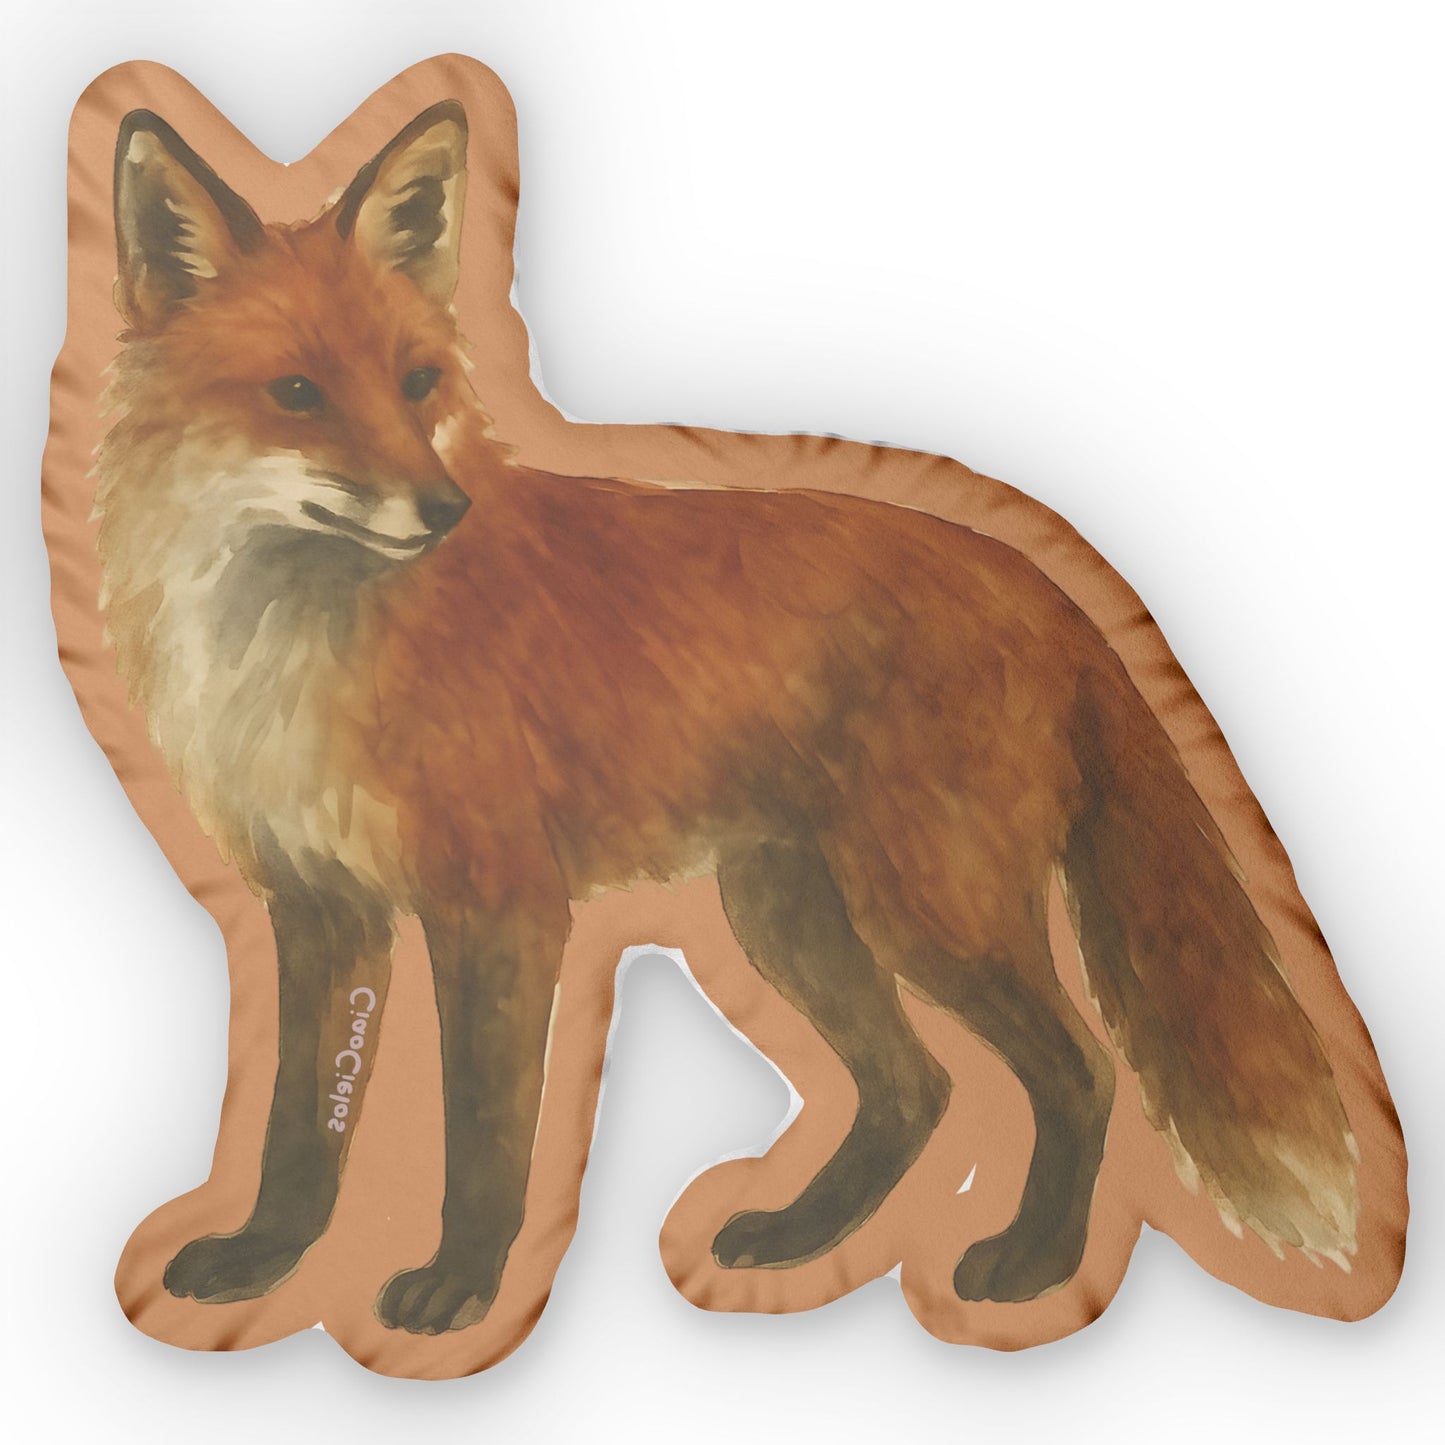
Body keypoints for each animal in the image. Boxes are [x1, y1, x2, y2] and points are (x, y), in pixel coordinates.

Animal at [93, 96, 1362, 1340]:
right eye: (297, 394)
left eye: (415, 384)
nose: (443, 510)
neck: (292, 632)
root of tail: (1036, 571)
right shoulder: (319, 907)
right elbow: (301, 1128)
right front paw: (264, 1256)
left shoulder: (498, 902)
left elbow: (483, 1134)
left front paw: (459, 1284)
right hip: (788, 909)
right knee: (916, 1088)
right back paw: (801, 1233)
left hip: (925, 909)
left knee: (1079, 1072)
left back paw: (1033, 1262)